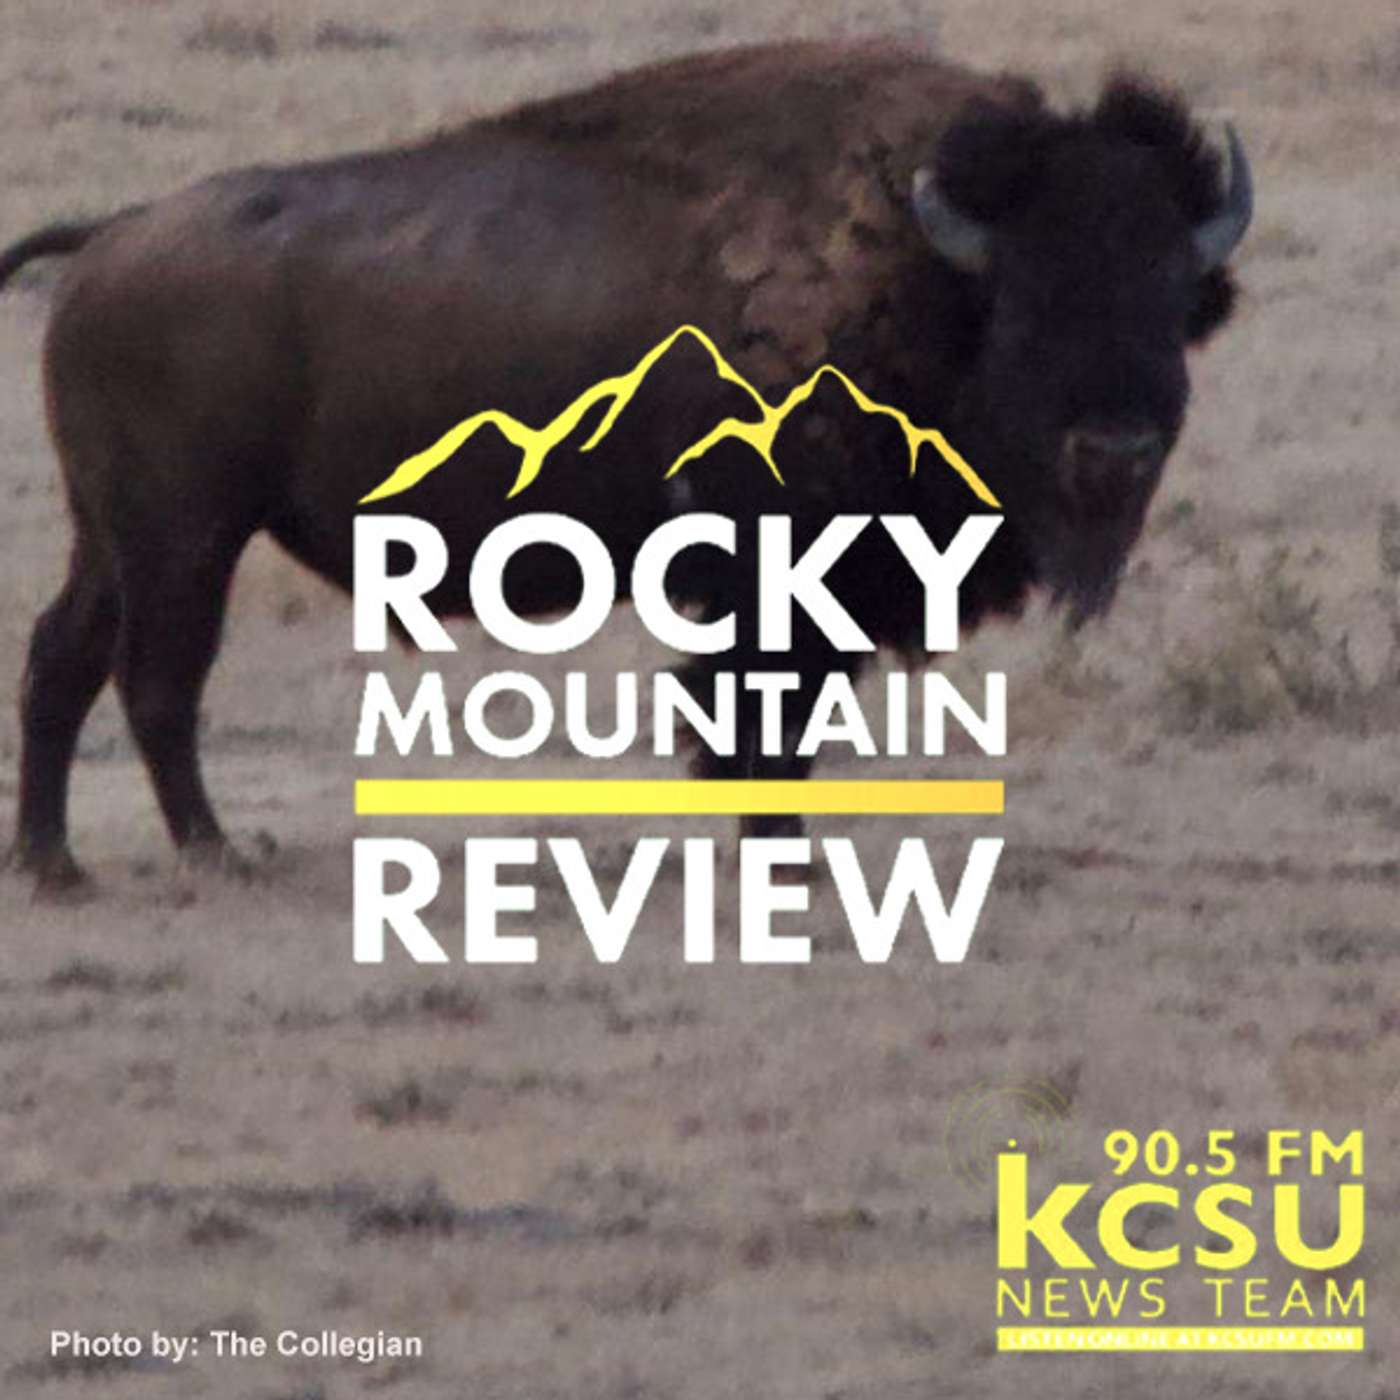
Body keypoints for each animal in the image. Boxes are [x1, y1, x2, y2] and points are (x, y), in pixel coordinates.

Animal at [0, 40, 1250, 891]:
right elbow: (758, 717)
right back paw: (214, 850)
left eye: (1171, 296)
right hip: (186, 534)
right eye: (1026, 306)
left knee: (66, 652)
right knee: (159, 676)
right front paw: (780, 857)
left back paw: (56, 863)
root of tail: (114, 231)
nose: (1114, 448)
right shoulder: (778, 584)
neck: (922, 273)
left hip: (116, 532)